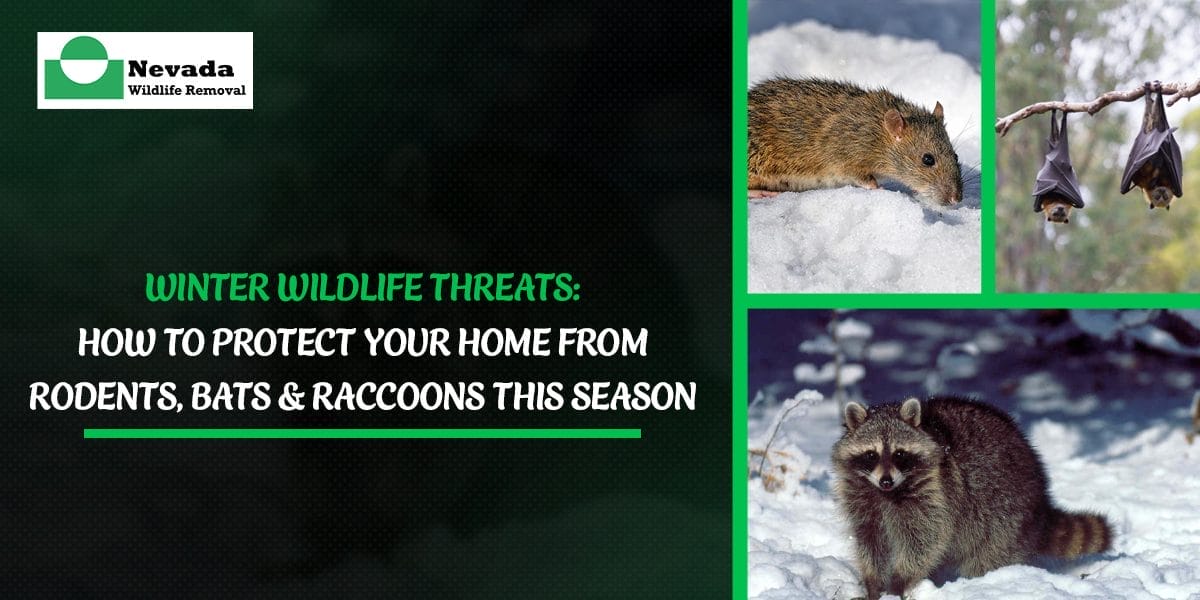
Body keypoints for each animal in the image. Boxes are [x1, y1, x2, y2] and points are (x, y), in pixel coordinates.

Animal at [831, 396, 1112, 599]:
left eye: (900, 454)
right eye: (871, 455)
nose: (886, 480)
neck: (887, 493)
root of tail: (1040, 502)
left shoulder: (936, 492)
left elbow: (926, 539)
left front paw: (899, 581)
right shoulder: (862, 499)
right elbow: (869, 539)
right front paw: (872, 582)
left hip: (1005, 519)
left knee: (986, 556)